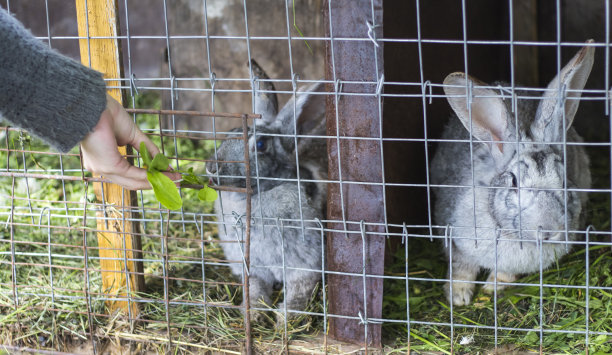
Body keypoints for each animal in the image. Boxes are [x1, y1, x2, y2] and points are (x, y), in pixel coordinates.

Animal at [206, 60, 328, 320]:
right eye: (230, 132)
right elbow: (255, 288)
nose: (212, 167)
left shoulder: (305, 264)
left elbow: (300, 289)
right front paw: (253, 313)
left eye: (261, 145)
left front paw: (285, 319)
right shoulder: (252, 267)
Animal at [430, 43, 592, 306]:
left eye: (564, 179)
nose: (550, 230)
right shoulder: (453, 236)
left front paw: (492, 287)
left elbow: (505, 273)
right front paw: (459, 296)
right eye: (514, 182)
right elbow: (461, 267)